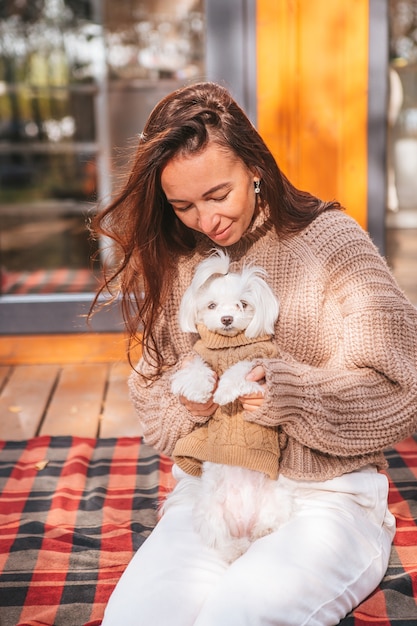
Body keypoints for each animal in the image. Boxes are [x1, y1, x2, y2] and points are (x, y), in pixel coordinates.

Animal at [169, 249, 292, 560]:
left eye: (242, 304)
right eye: (211, 305)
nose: (226, 318)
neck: (229, 346)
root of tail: (243, 525)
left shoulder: (257, 367)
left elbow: (238, 371)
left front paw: (223, 393)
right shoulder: (198, 356)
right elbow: (196, 368)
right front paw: (201, 391)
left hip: (278, 496)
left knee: (269, 521)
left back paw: (260, 531)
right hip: (210, 509)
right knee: (221, 541)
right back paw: (236, 549)